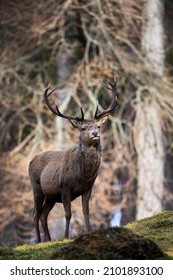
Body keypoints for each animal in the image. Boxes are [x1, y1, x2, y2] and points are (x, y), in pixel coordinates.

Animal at [28, 77, 117, 243]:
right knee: (36, 213)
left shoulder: (88, 188)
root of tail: (30, 161)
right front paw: (65, 236)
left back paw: (49, 239)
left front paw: (89, 231)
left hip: (51, 195)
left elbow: (86, 211)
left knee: (43, 214)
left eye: (98, 126)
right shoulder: (64, 186)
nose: (95, 133)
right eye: (83, 128)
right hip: (36, 187)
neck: (82, 176)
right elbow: (68, 213)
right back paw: (38, 240)